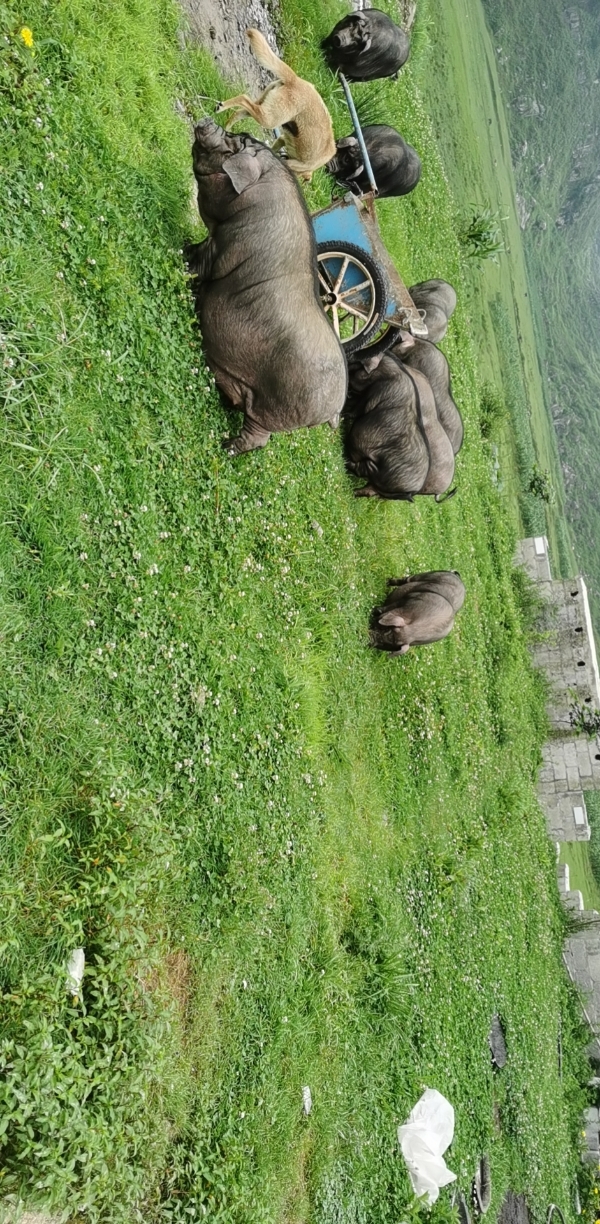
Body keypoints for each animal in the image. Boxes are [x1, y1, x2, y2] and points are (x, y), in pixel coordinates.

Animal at [186, 120, 347, 455]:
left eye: (237, 142)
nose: (208, 121)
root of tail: (335, 410)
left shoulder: (224, 246)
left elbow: (200, 263)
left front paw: (180, 262)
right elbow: (196, 250)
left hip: (275, 412)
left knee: (258, 438)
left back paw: (226, 446)